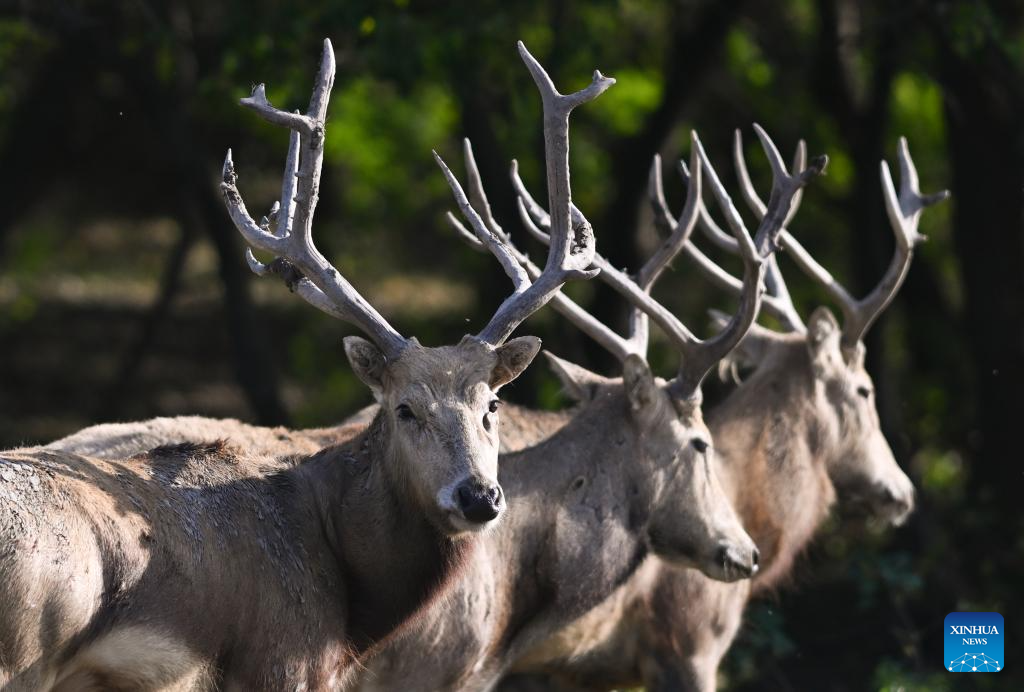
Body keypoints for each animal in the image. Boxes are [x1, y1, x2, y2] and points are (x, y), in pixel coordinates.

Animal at [0, 39, 606, 692]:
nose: (479, 497)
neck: (347, 608)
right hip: (25, 655)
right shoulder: (281, 660)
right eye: (404, 408)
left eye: (492, 404)